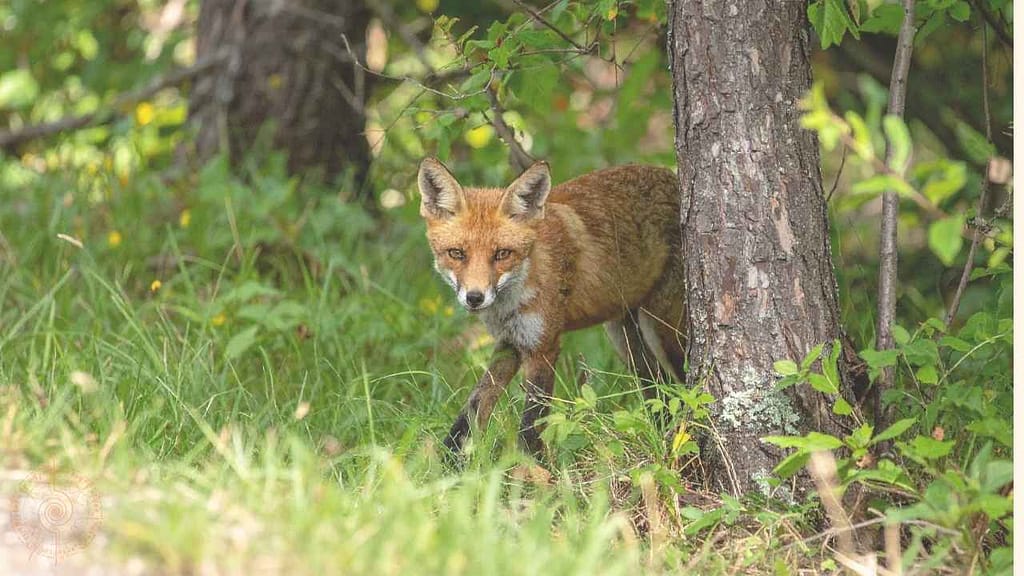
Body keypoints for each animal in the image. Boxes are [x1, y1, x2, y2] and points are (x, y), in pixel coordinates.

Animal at [418, 157, 686, 458]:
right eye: (457, 253)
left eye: (502, 254)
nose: (475, 297)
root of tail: (670, 175)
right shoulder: (510, 343)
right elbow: (474, 407)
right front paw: (446, 462)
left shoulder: (543, 347)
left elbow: (531, 425)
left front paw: (530, 468)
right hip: (623, 337)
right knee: (658, 387)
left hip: (662, 331)